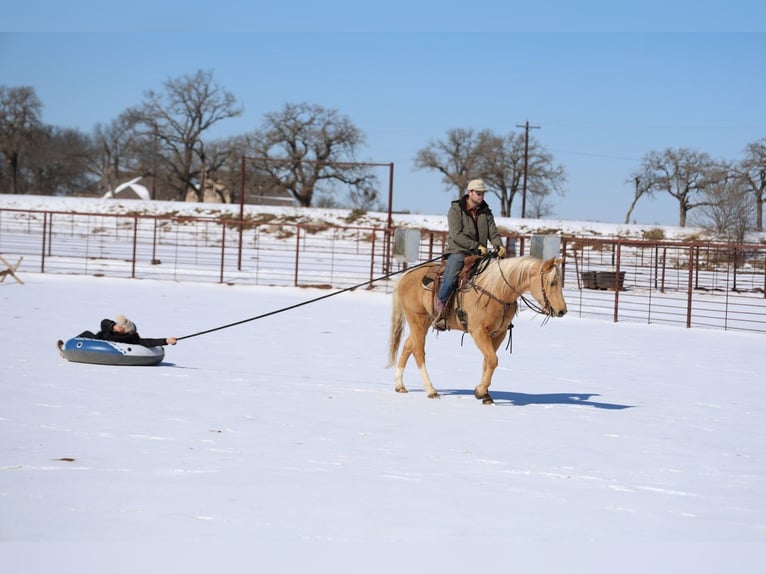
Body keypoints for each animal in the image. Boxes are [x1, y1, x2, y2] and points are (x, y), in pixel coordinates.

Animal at [387, 255, 567, 405]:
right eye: (552, 282)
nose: (562, 311)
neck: (497, 290)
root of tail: (405, 276)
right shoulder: (478, 331)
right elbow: (493, 360)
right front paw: (480, 392)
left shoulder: (498, 333)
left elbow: (488, 361)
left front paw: (485, 394)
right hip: (417, 319)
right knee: (418, 351)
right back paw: (431, 390)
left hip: (424, 323)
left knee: (408, 346)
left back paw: (400, 385)